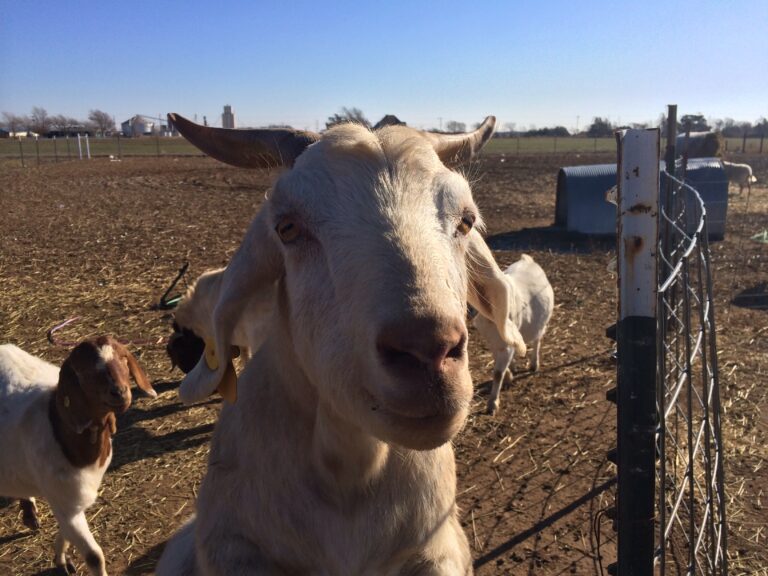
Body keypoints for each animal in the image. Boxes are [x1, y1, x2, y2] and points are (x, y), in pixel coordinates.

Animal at [0, 336, 155, 575]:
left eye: (123, 357)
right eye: (84, 371)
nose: (119, 392)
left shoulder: (73, 499)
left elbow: (66, 531)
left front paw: (60, 558)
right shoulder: (64, 499)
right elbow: (94, 556)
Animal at [156, 113, 521, 575]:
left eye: (466, 222)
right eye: (287, 228)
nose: (429, 351)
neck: (350, 473)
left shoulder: (438, 547)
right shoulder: (230, 546)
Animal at [473, 254, 555, 415]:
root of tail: (527, 259)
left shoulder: (505, 343)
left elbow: (497, 373)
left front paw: (492, 404)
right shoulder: (493, 341)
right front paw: (509, 375)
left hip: (542, 322)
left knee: (537, 340)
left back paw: (534, 364)